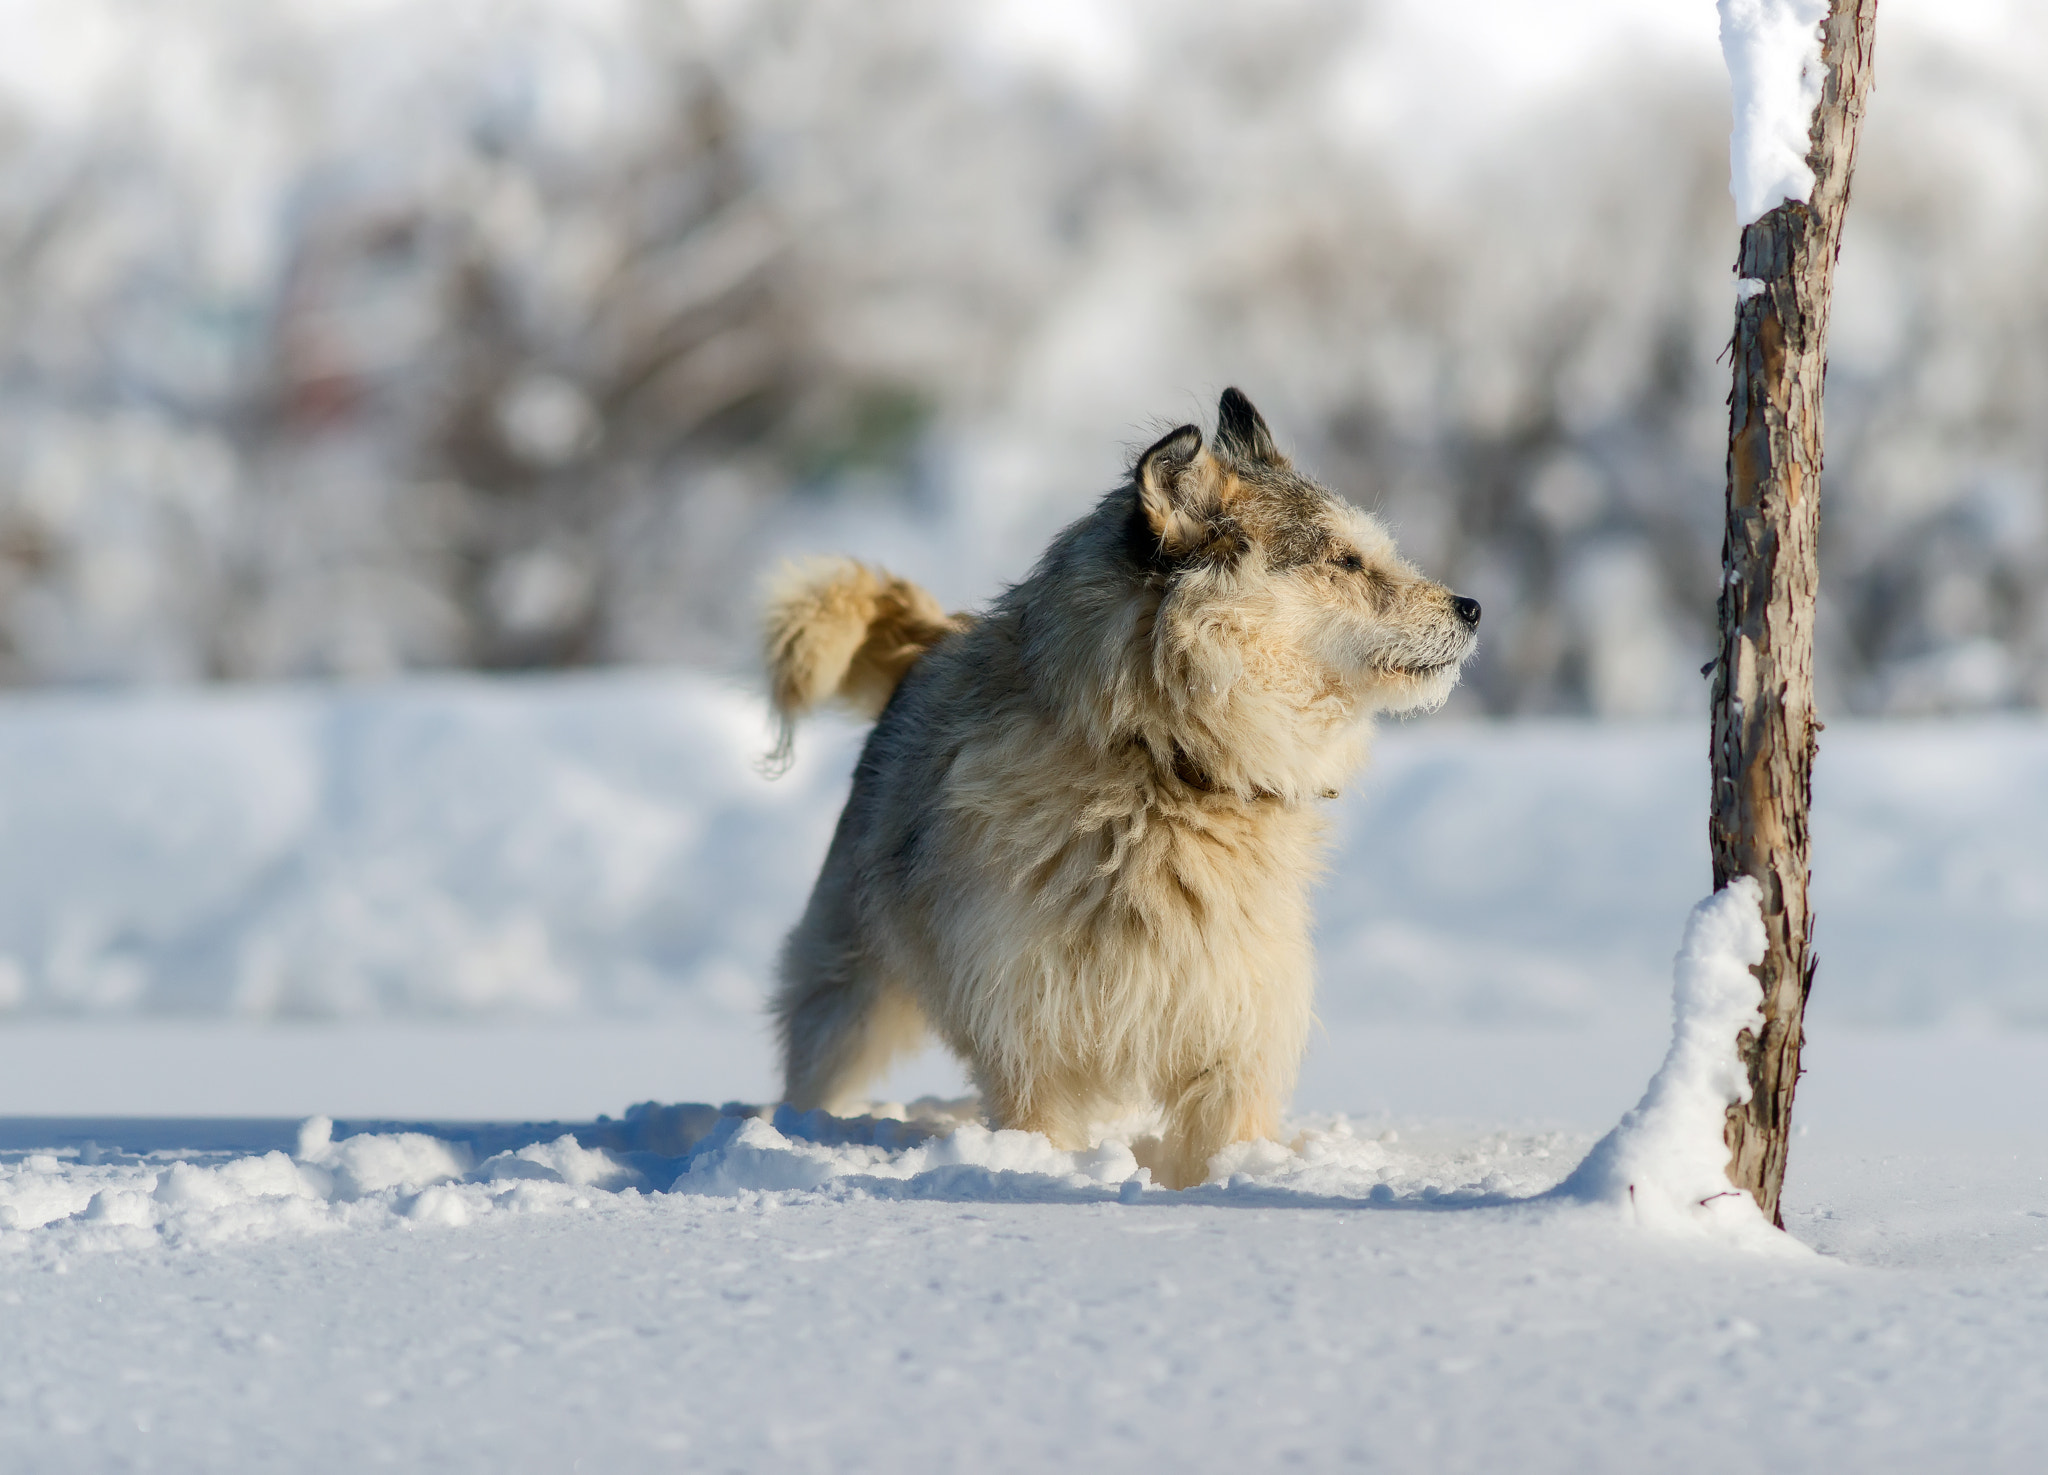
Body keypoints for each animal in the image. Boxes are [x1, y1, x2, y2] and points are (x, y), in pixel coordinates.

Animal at [761, 389, 1482, 1188]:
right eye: (1345, 559)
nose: (1472, 608)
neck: (1158, 769)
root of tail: (930, 642)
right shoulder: (1029, 1025)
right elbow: (1039, 1122)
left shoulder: (1235, 1018)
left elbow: (1225, 1131)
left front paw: (1230, 1181)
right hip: (848, 1000)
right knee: (816, 1069)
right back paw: (797, 1134)